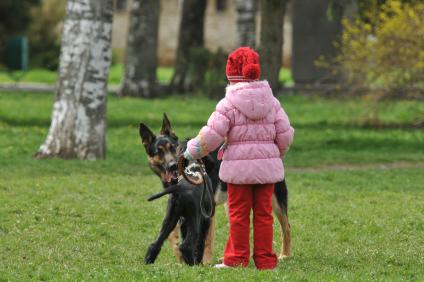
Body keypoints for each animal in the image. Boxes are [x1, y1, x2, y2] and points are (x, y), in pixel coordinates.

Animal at [139, 113, 292, 264]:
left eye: (172, 147)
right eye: (159, 151)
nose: (172, 166)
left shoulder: (205, 216)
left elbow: (205, 240)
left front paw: (203, 262)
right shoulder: (179, 215)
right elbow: (172, 237)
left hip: (276, 201)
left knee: (286, 227)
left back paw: (284, 255)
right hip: (229, 205)